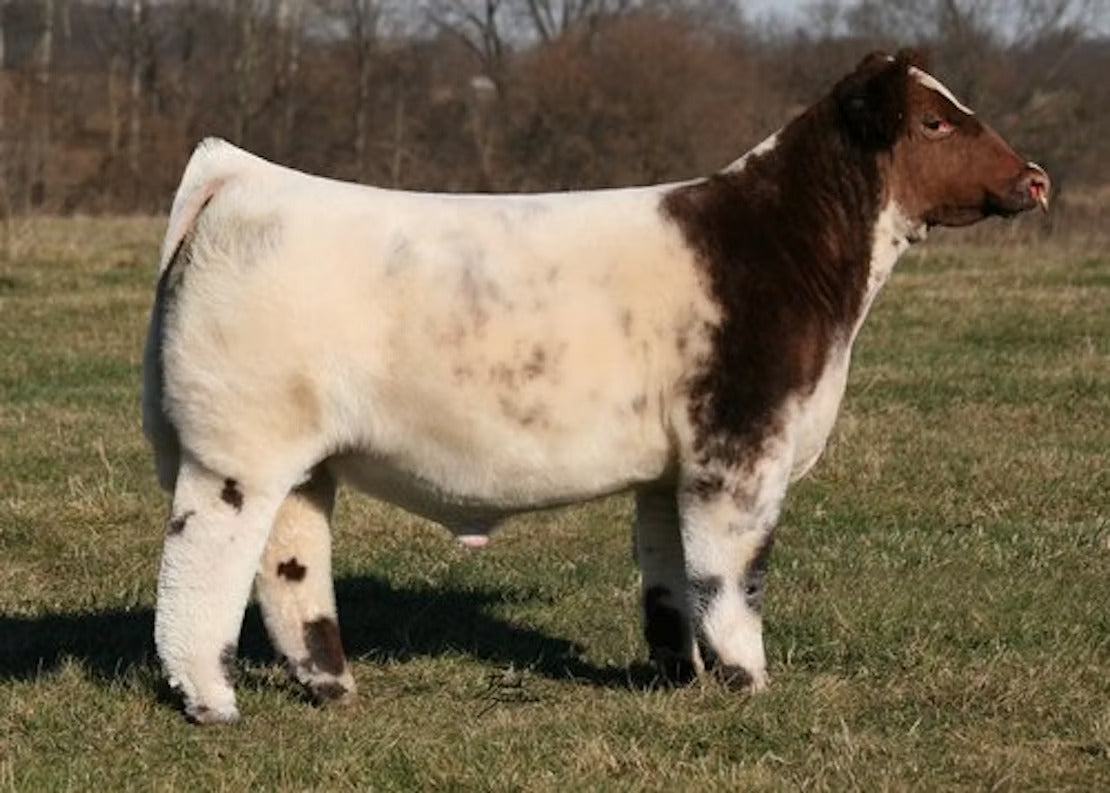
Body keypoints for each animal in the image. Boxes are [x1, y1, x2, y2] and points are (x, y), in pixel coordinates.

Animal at [142, 50, 1049, 723]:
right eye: (935, 120)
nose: (1036, 177)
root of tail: (244, 175)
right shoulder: (741, 448)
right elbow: (733, 573)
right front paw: (748, 680)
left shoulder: (671, 467)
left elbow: (669, 576)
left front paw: (681, 674)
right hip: (237, 449)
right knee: (201, 562)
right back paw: (212, 700)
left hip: (301, 459)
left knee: (290, 563)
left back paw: (330, 686)